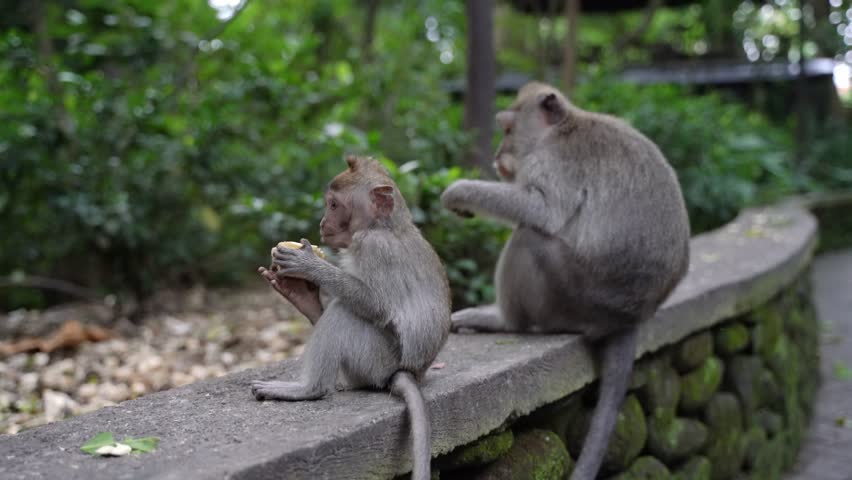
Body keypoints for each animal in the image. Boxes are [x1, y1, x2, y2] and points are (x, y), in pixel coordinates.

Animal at [253, 155, 452, 480]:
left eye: (333, 205)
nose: (322, 222)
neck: (384, 225)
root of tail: (409, 372)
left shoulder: (376, 248)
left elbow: (377, 306)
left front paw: (310, 266)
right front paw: (301, 293)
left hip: (376, 359)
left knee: (344, 313)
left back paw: (310, 389)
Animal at [440, 82, 690, 480]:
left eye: (508, 129)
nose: (497, 155)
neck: (561, 127)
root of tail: (629, 317)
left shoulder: (555, 161)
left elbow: (544, 210)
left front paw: (460, 191)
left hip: (570, 296)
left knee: (531, 237)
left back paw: (503, 321)